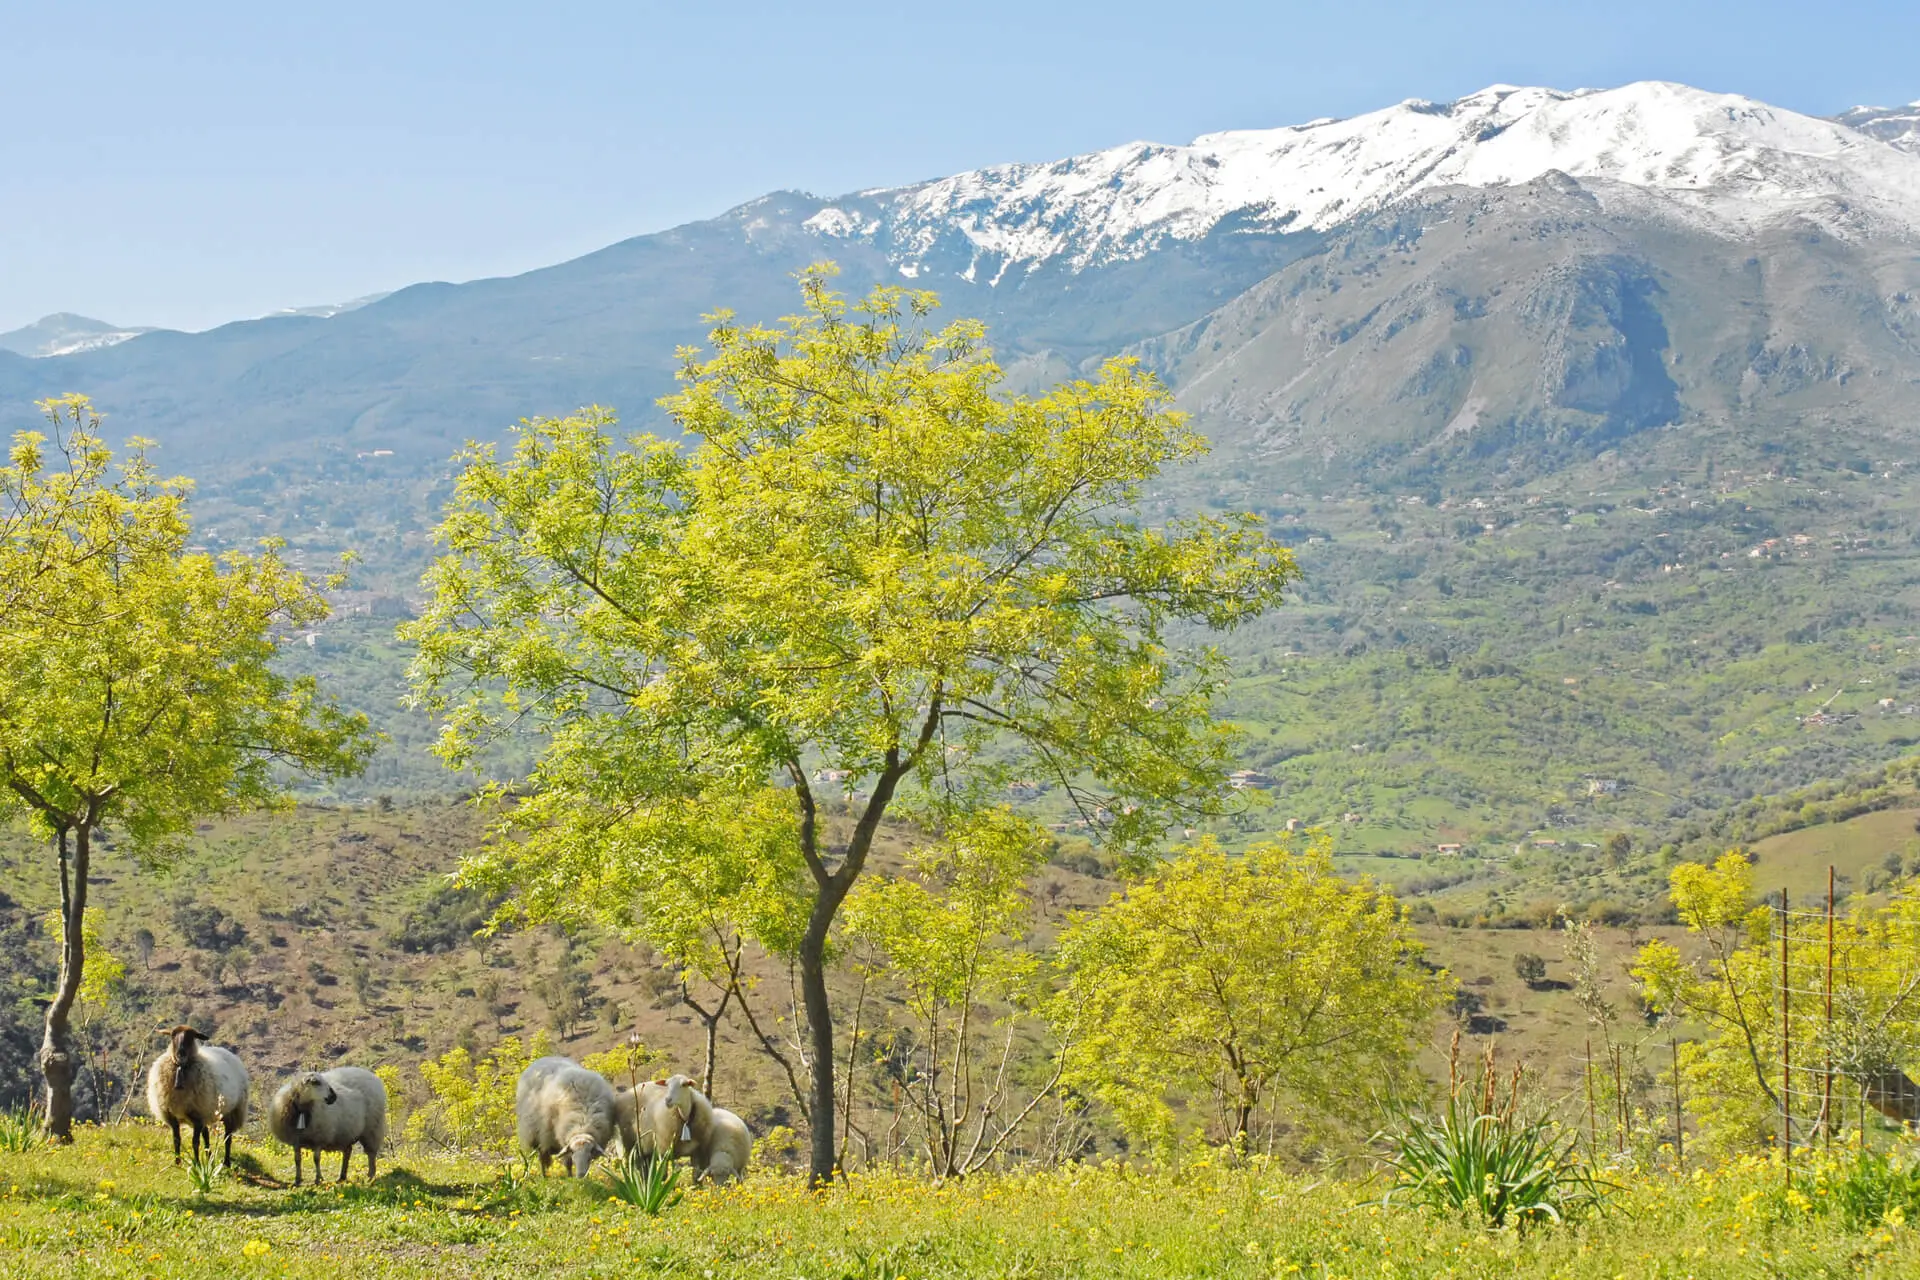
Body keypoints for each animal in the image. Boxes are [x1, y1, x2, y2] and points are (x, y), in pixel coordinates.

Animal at [145, 1025, 249, 1166]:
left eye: (192, 1036)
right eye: (173, 1035)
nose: (181, 1054)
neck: (181, 1069)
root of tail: (228, 1053)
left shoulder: (198, 1116)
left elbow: (195, 1142)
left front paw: (197, 1164)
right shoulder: (173, 1116)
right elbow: (176, 1139)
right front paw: (177, 1163)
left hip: (232, 1111)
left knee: (227, 1138)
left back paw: (226, 1163)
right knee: (206, 1134)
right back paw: (209, 1157)